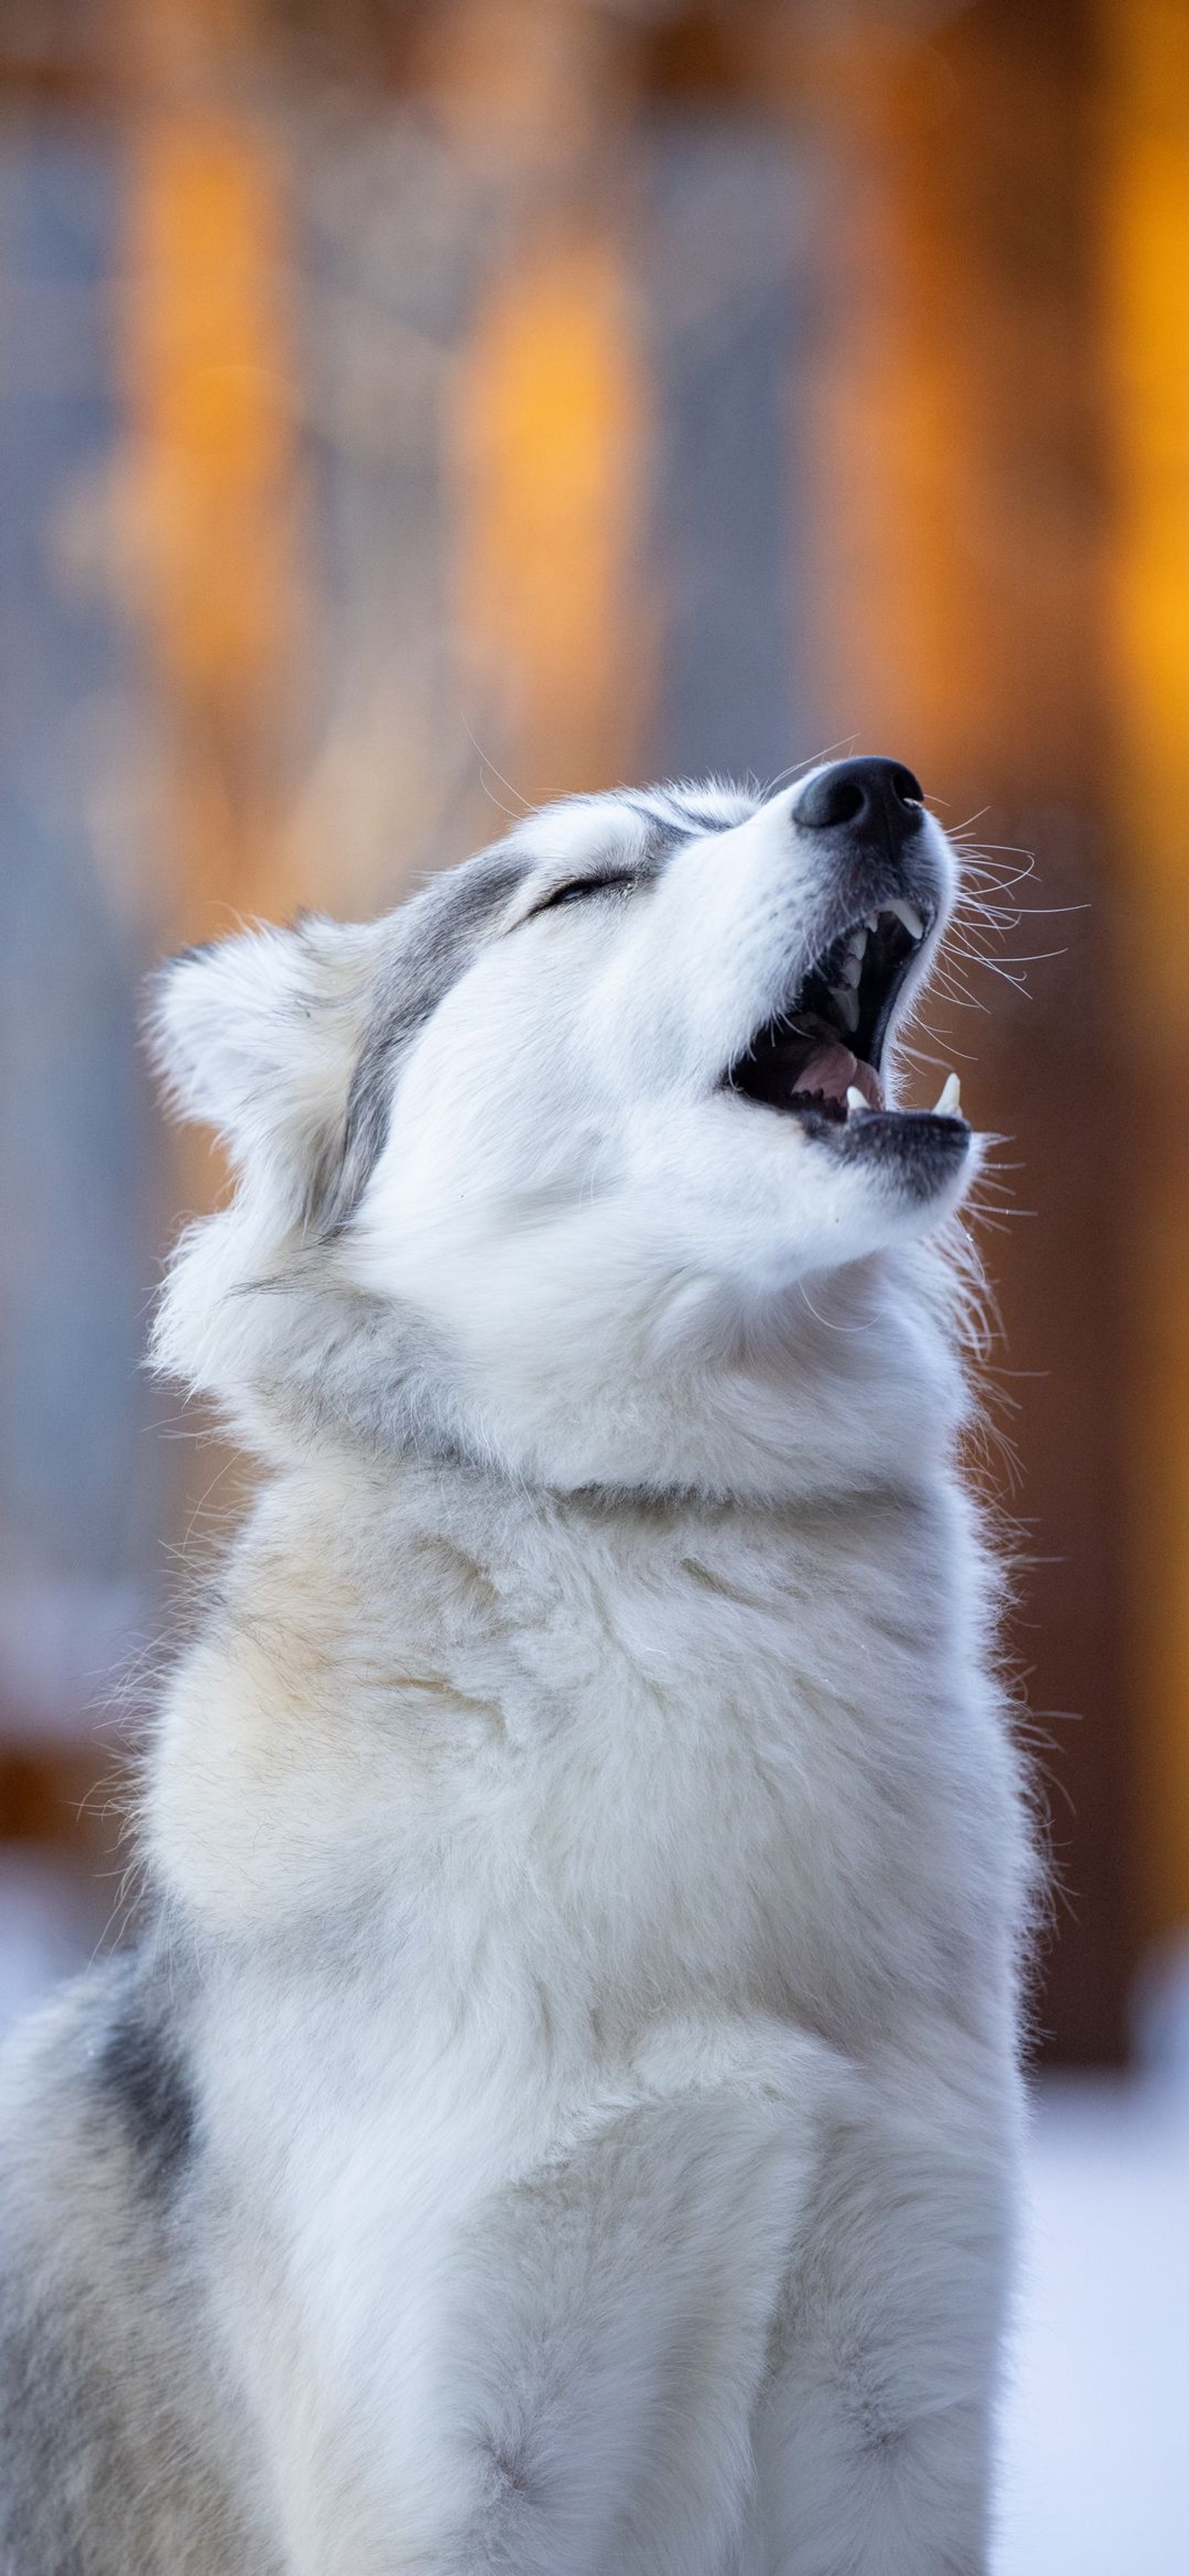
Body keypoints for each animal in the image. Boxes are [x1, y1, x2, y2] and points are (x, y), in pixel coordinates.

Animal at [0, 757, 1026, 2576]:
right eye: (584, 888)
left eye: (734, 808)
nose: (872, 788)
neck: (662, 1519)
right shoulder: (456, 2460)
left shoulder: (896, 2409)